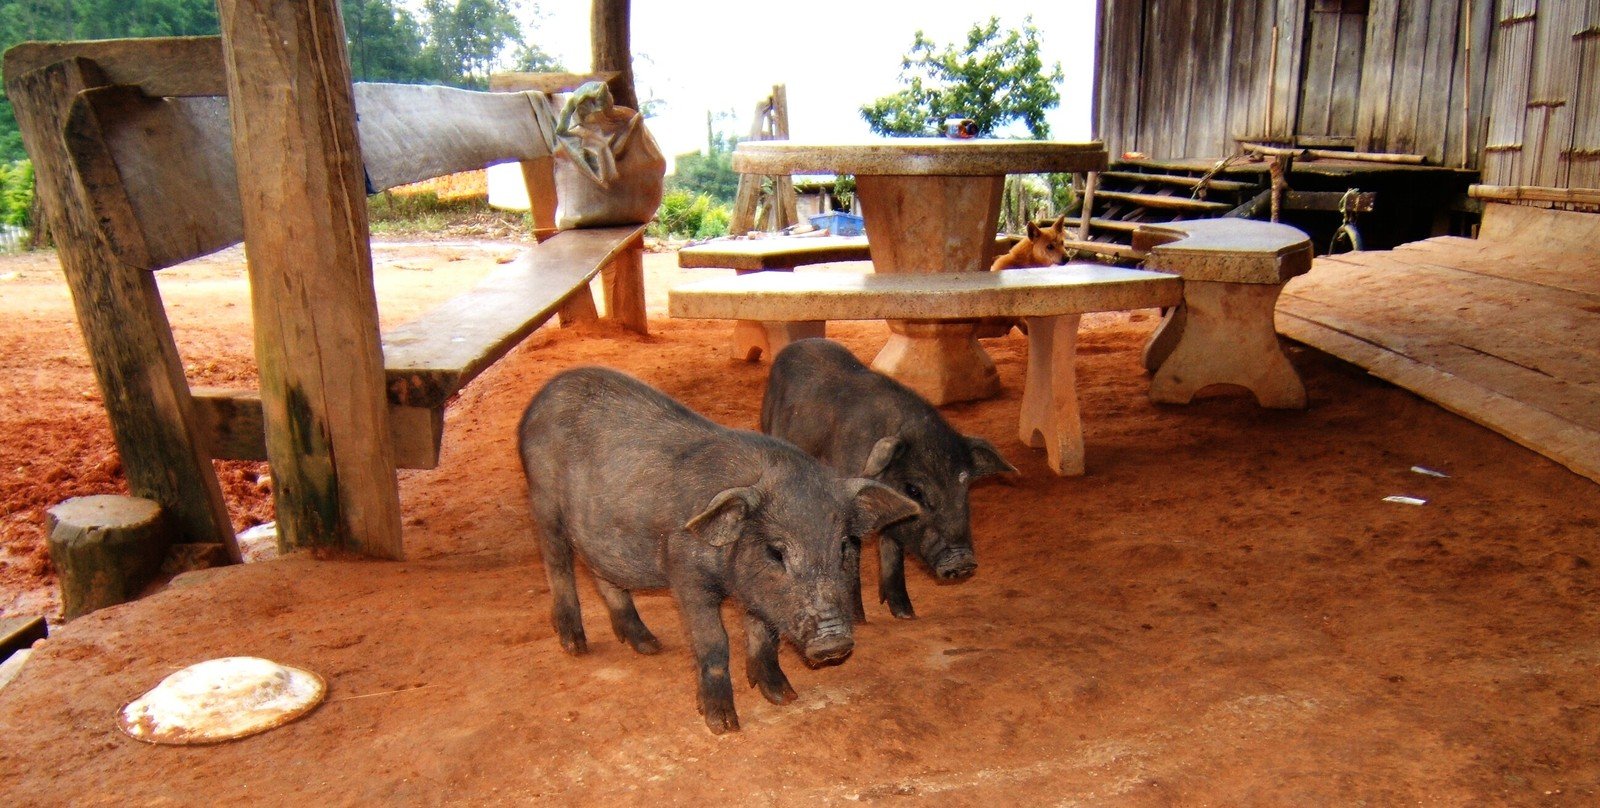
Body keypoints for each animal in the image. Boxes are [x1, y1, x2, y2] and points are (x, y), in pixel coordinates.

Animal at [518, 368, 921, 732]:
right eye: (776, 552)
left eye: (842, 547)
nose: (834, 640)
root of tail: (539, 399)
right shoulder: (685, 575)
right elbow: (714, 643)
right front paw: (724, 725)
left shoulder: (757, 594)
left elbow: (763, 636)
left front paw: (784, 697)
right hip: (544, 505)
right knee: (558, 567)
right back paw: (576, 646)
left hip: (600, 533)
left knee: (603, 576)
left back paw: (649, 645)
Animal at [758, 339, 1011, 617]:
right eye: (914, 490)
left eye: (963, 485)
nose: (963, 561)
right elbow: (852, 554)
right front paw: (859, 619)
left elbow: (893, 553)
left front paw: (906, 615)